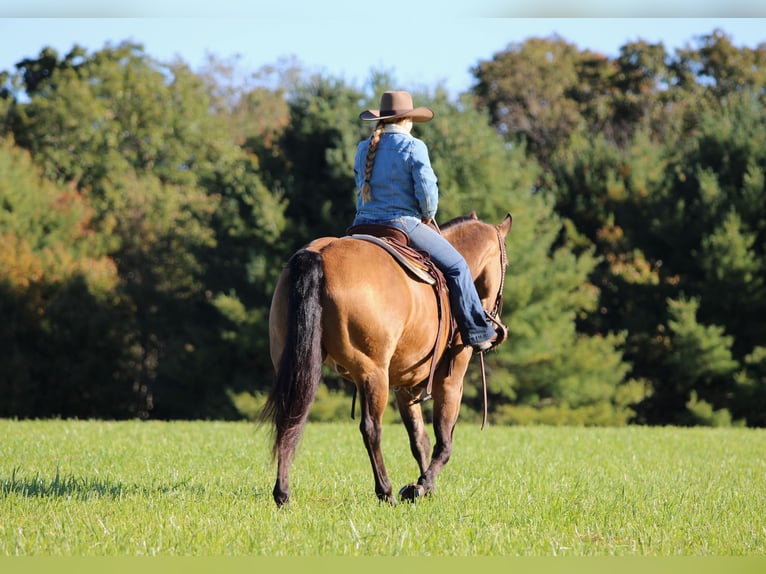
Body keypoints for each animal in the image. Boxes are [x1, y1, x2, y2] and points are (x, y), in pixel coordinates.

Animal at [262, 212, 512, 506]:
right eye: (505, 262)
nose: (495, 323)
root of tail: (321, 254)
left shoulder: (404, 386)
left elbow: (419, 439)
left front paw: (424, 487)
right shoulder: (451, 382)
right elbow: (444, 441)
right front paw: (422, 486)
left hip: (296, 364)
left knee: (290, 416)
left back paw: (282, 494)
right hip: (372, 373)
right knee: (371, 428)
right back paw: (386, 491)